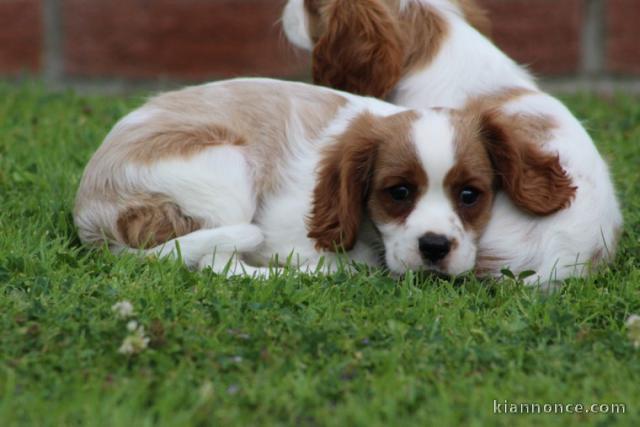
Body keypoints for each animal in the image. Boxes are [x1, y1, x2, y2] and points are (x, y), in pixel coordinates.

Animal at [72, 78, 572, 276]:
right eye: (399, 192)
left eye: (470, 195)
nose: (434, 247)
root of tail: (90, 215)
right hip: (225, 169)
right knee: (220, 262)